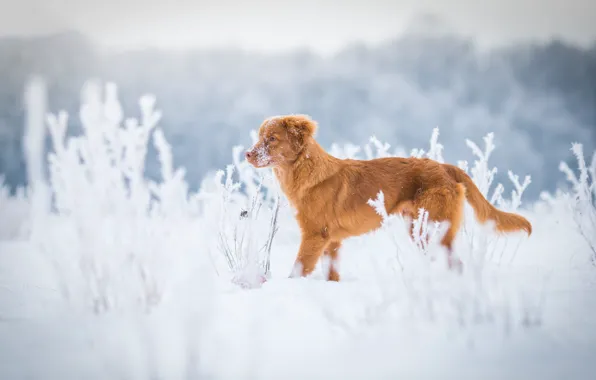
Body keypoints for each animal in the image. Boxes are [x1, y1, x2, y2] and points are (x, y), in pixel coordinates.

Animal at [244, 114, 532, 280]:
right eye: (259, 137)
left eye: (272, 138)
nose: (247, 154)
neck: (305, 172)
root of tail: (444, 167)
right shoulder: (332, 241)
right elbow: (331, 274)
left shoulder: (315, 235)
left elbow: (297, 270)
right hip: (419, 228)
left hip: (429, 229)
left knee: (456, 263)